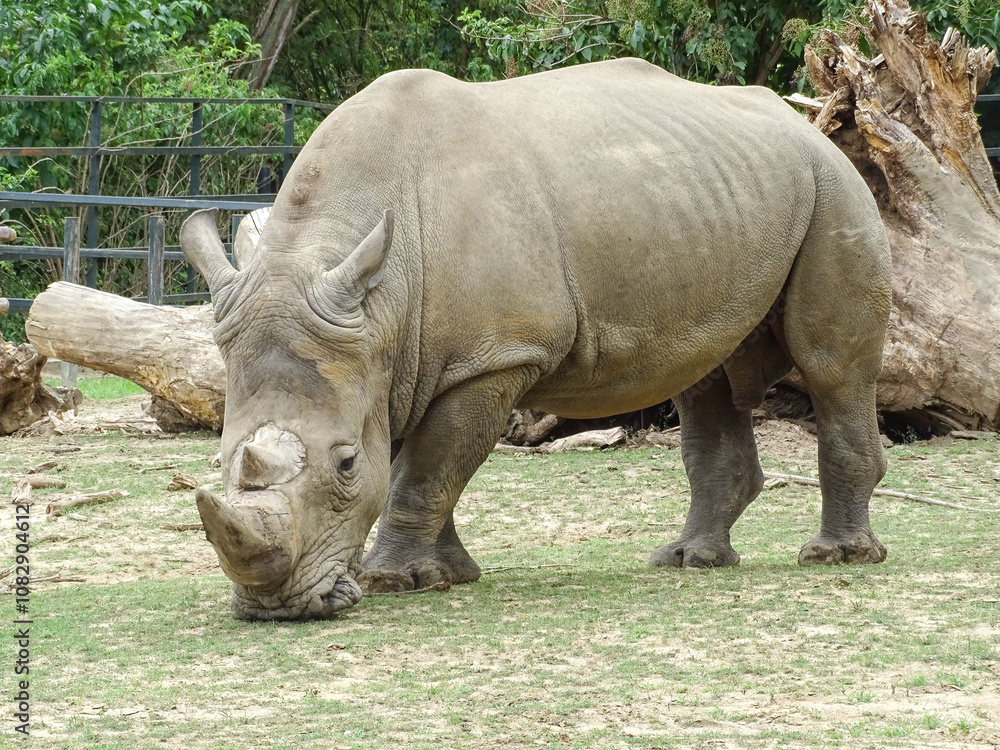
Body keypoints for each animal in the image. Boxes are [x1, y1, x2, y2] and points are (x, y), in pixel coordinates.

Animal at [181, 58, 891, 621]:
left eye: (347, 464)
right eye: (219, 460)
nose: (278, 608)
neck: (379, 307)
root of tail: (803, 122)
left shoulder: (493, 357)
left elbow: (427, 467)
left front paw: (392, 579)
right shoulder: (398, 359)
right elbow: (423, 464)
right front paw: (446, 576)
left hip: (835, 186)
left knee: (832, 370)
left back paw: (836, 558)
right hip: (721, 195)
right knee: (706, 377)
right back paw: (689, 560)